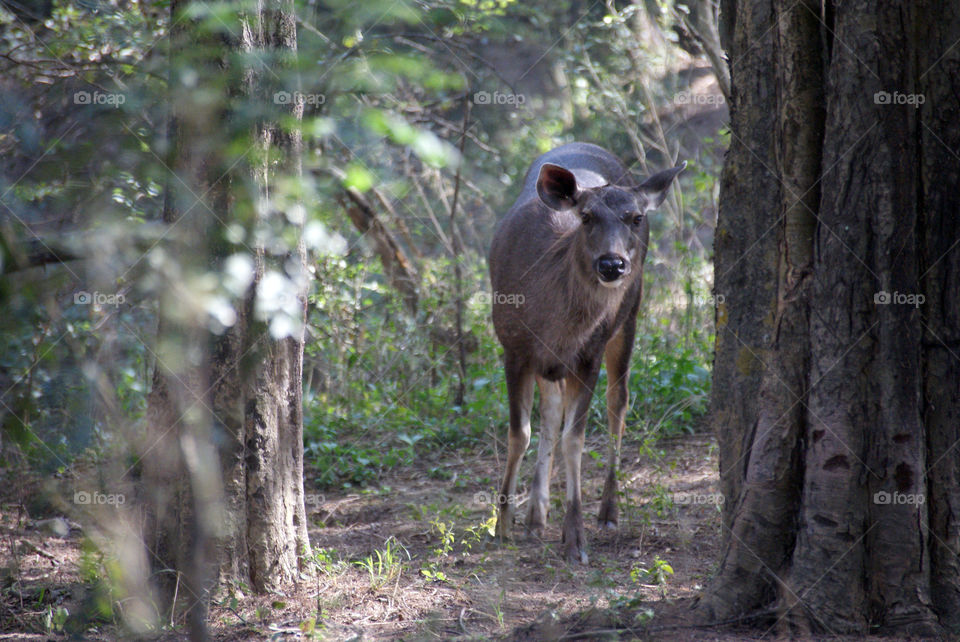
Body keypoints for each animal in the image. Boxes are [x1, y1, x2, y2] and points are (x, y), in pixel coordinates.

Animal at [488, 142, 684, 564]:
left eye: (635, 218)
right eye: (587, 217)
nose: (612, 264)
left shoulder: (588, 356)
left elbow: (574, 440)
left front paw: (575, 538)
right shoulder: (513, 347)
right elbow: (520, 432)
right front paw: (503, 523)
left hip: (630, 315)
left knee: (618, 401)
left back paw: (608, 512)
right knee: (551, 410)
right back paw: (536, 516)